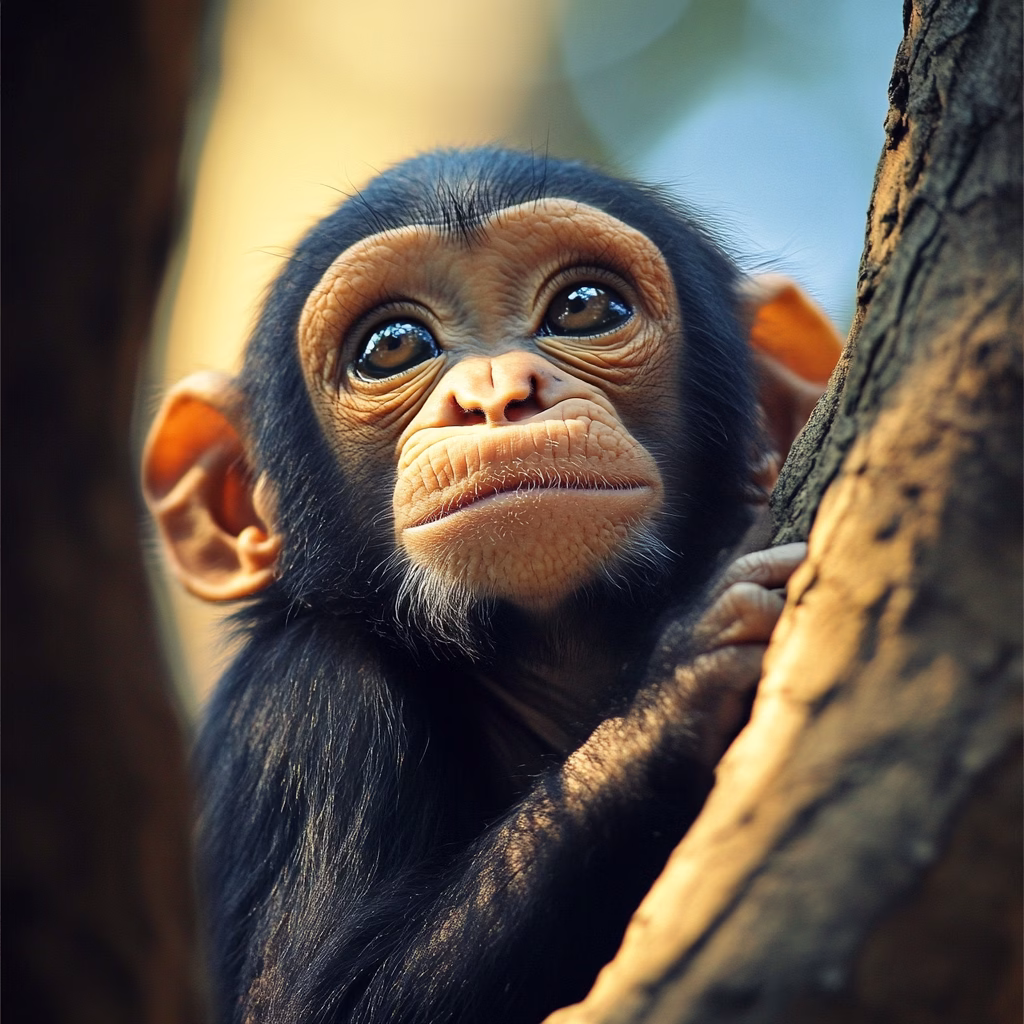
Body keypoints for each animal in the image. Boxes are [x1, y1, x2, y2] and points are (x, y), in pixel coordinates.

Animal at [142, 148, 841, 1024]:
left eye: (584, 307)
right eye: (393, 347)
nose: (496, 392)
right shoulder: (306, 706)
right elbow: (314, 1001)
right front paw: (671, 689)